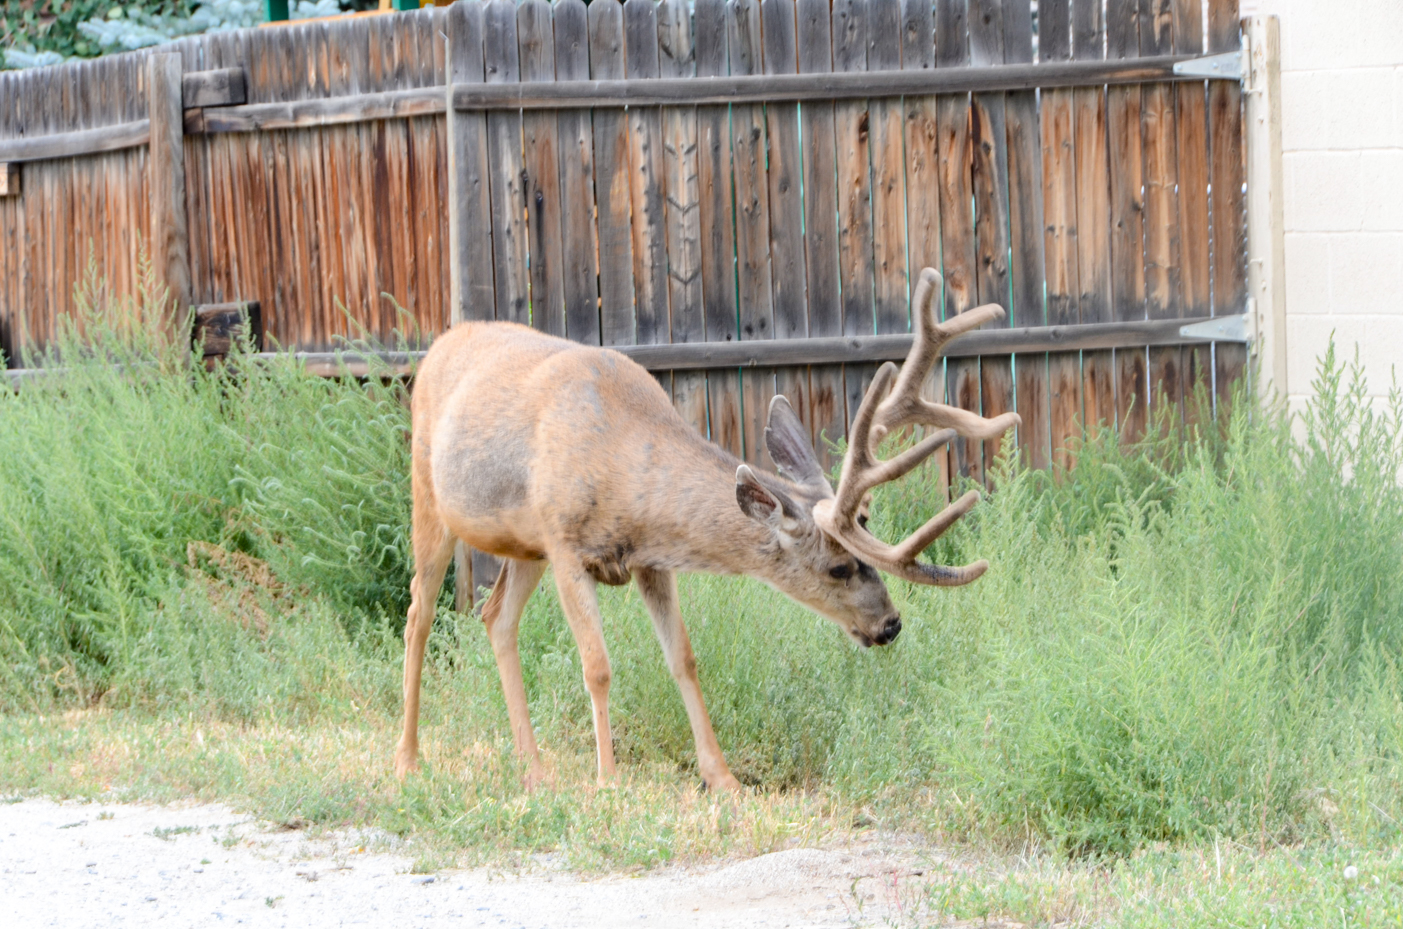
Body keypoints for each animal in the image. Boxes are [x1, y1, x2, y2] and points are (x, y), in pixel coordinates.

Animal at [395, 269, 1021, 791]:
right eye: (839, 567)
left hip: (525, 545)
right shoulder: (566, 543)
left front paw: (723, 780)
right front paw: (608, 784)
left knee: (495, 615)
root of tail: (438, 345)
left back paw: (535, 770)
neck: (624, 465)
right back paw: (410, 760)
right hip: (432, 496)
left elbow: (684, 659)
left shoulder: (646, 560)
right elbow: (597, 666)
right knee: (419, 612)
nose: (890, 625)